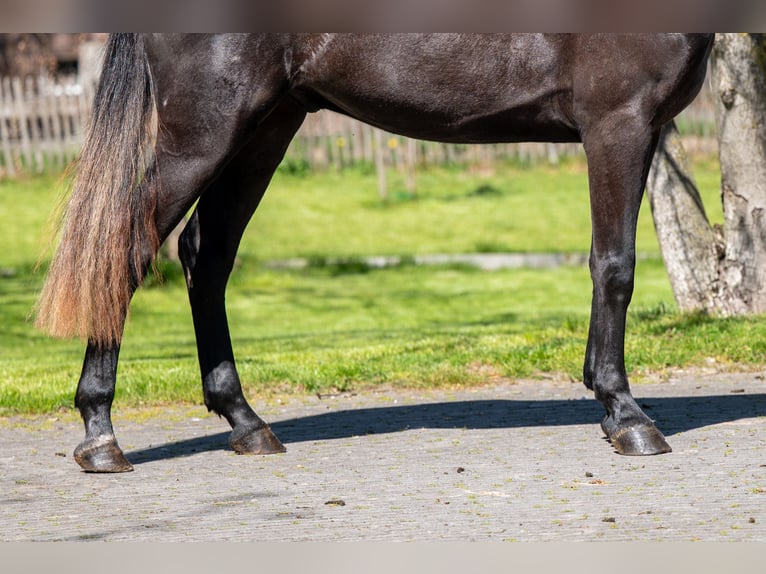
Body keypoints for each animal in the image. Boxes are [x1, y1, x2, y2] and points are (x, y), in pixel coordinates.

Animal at [36, 33, 714, 472]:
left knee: (208, 254)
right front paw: (627, 416)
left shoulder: (643, 130)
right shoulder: (617, 123)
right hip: (205, 133)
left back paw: (246, 424)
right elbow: (615, 266)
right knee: (126, 250)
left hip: (266, 127)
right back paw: (100, 435)